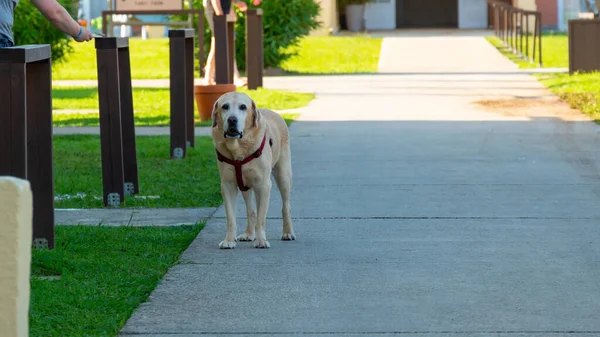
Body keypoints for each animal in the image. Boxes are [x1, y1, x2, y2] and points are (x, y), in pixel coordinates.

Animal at [211, 90, 296, 248]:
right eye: (225, 106)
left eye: (243, 107)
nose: (232, 120)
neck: (238, 148)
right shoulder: (228, 185)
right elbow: (231, 218)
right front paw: (229, 240)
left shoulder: (263, 185)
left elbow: (261, 218)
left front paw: (261, 240)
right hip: (245, 184)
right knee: (251, 210)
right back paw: (249, 234)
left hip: (283, 175)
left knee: (285, 206)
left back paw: (287, 232)